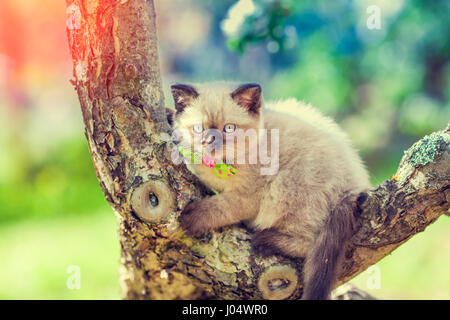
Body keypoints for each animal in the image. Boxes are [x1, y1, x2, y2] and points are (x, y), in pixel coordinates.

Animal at [169, 80, 370, 300]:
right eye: (198, 129)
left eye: (229, 128)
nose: (209, 141)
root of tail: (354, 186)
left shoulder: (249, 196)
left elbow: (222, 207)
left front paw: (192, 218)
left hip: (287, 182)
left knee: (308, 242)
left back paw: (264, 240)